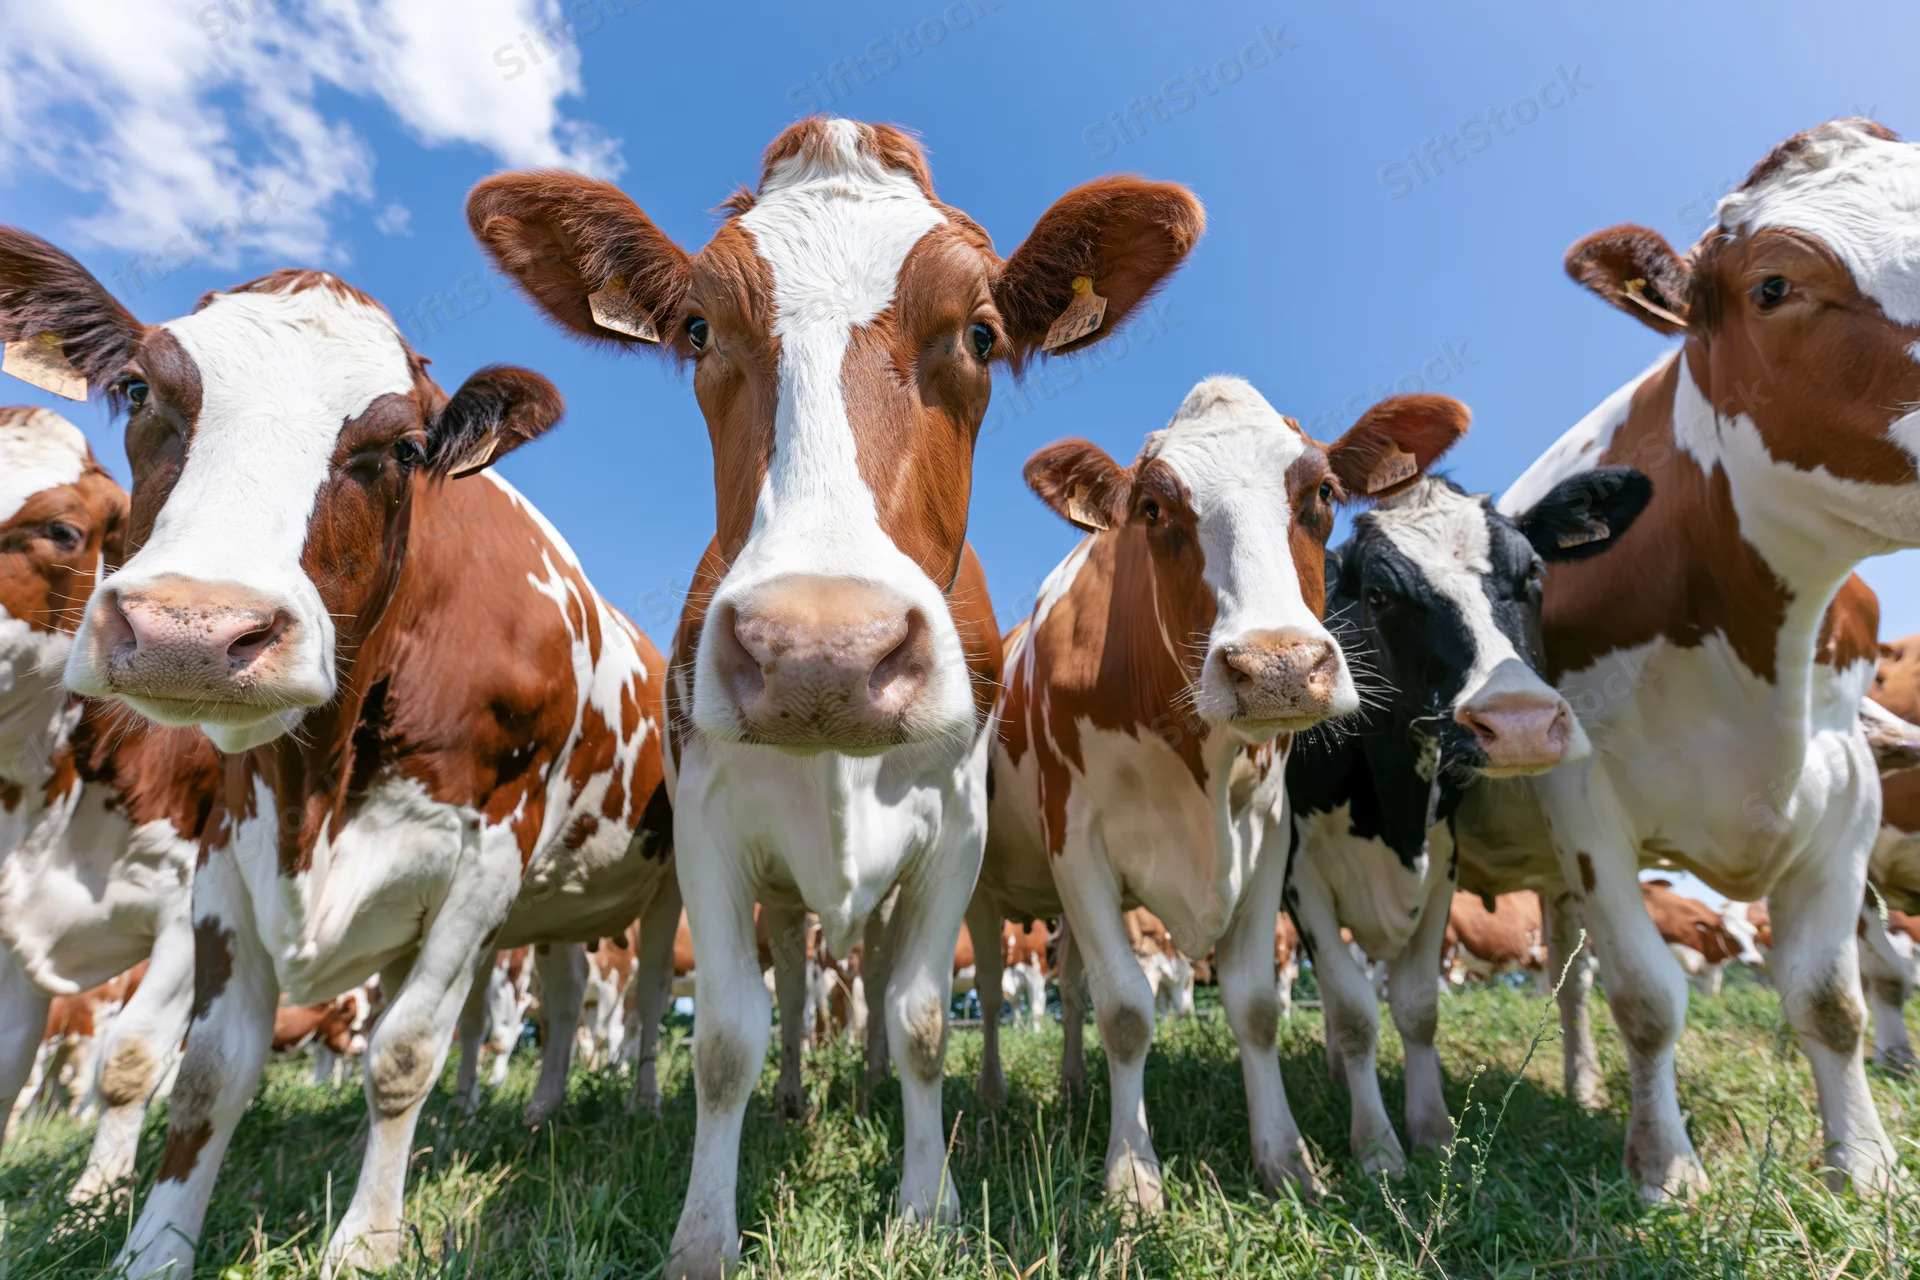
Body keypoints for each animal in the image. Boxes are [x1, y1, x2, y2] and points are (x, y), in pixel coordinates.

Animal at [467, 116, 1202, 1276]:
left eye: (981, 333)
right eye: (696, 328)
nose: (821, 653)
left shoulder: (955, 829)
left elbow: (919, 1017)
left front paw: (926, 1202)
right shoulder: (710, 827)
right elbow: (729, 1034)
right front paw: (704, 1233)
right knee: (794, 985)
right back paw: (800, 1100)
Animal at [971, 377, 1470, 1208]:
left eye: (1322, 491)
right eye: (1152, 507)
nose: (1277, 667)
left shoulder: (1268, 838)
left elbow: (1255, 1006)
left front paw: (1286, 1158)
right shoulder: (1076, 839)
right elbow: (1127, 1010)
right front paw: (1133, 1174)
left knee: (1069, 987)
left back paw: (1073, 1085)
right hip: (980, 892)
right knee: (985, 981)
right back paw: (990, 1094)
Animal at [1284, 466, 1648, 1173]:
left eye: (1533, 571)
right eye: (1378, 595)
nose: (1520, 723)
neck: (1391, 810)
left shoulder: (1440, 863)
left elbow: (1418, 1007)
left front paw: (1431, 1130)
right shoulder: (1298, 873)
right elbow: (1354, 1014)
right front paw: (1377, 1148)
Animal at [1452, 119, 1920, 1199]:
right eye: (1774, 286)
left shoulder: (1849, 793)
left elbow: (1831, 997)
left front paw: (1865, 1163)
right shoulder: (1583, 792)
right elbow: (1649, 996)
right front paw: (1664, 1166)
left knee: (1567, 976)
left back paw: (1581, 1082)